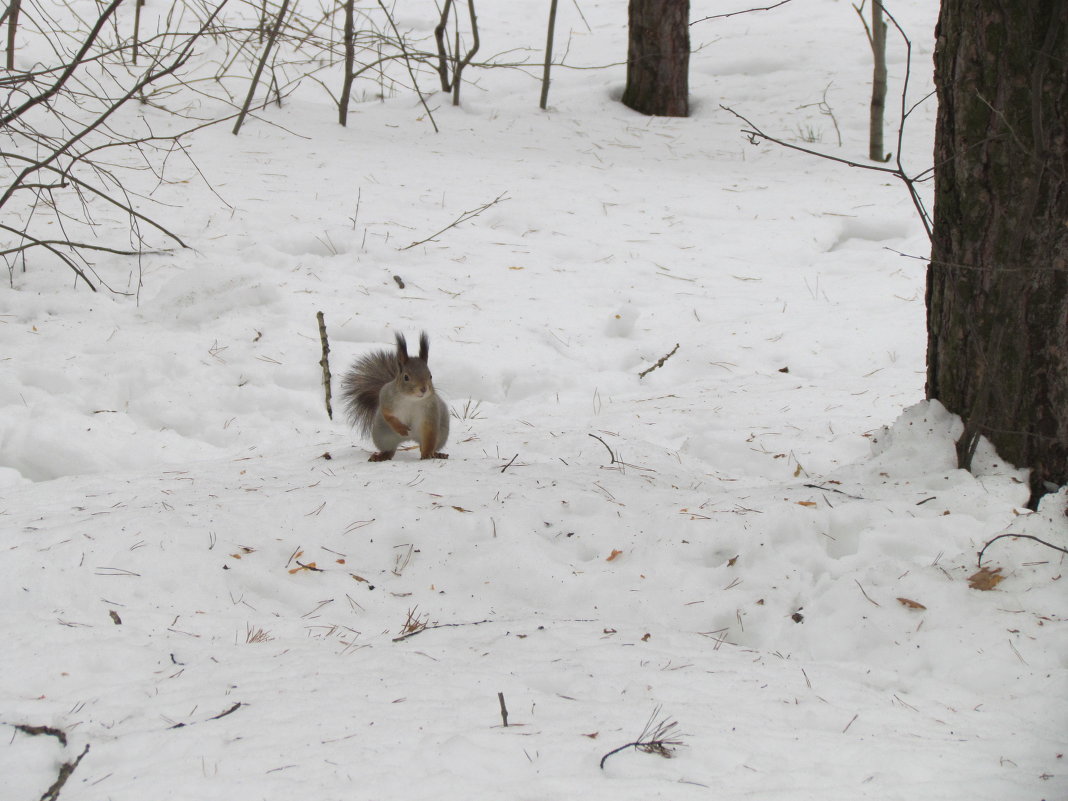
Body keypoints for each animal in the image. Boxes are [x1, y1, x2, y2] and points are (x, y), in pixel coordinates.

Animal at [337, 333, 446, 463]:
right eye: (406, 377)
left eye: (430, 376)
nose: (423, 389)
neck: (411, 400)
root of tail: (411, 439)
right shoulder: (386, 399)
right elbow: (388, 415)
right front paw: (401, 429)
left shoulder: (430, 413)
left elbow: (429, 438)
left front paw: (427, 454)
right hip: (382, 436)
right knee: (390, 450)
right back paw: (381, 456)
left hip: (441, 435)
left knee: (426, 444)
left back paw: (437, 454)